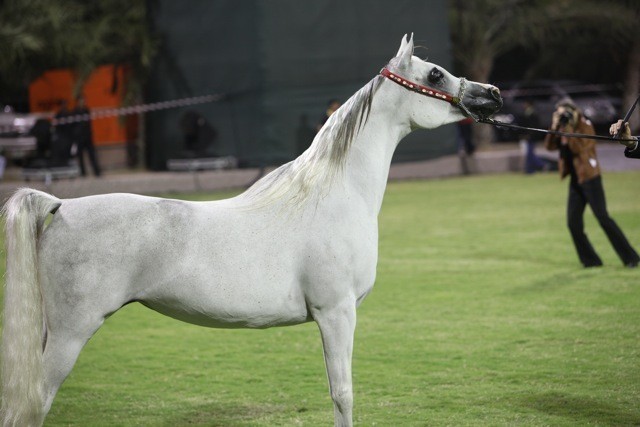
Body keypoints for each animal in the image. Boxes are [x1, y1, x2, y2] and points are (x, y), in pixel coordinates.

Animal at [1, 34, 502, 427]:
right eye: (435, 74)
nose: (493, 94)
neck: (335, 195)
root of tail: (62, 205)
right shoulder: (337, 313)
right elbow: (342, 396)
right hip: (69, 336)